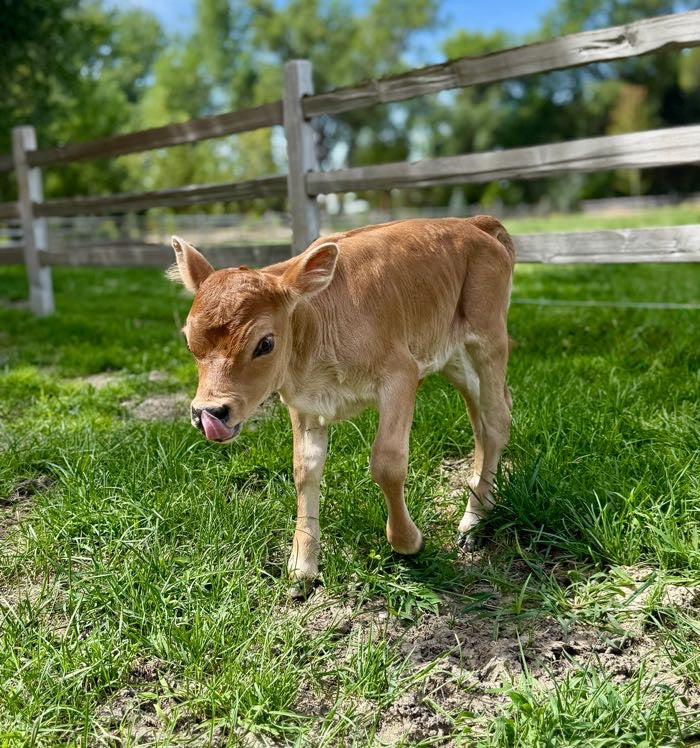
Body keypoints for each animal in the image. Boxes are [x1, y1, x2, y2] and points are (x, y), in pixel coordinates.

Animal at [168, 217, 514, 597]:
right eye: (188, 340)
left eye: (265, 344)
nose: (209, 413)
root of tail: (473, 223)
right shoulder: (303, 402)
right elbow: (304, 469)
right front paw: (302, 567)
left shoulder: (400, 373)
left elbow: (387, 463)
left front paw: (408, 542)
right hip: (449, 353)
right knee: (483, 411)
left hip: (488, 334)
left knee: (496, 419)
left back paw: (473, 522)